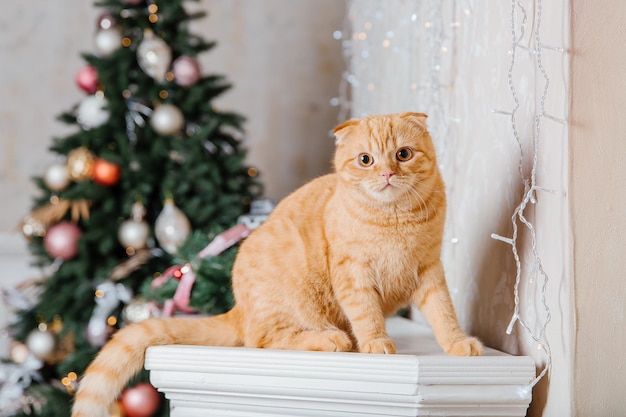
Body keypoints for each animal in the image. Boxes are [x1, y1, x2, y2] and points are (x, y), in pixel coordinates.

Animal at [73, 111, 482, 416]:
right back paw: (332, 338)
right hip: (292, 304)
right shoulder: (353, 273)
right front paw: (376, 343)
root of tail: (239, 308)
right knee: (266, 340)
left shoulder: (429, 270)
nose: (387, 173)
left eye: (403, 154)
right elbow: (366, 313)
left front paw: (458, 343)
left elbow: (444, 312)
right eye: (365, 160)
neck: (395, 219)